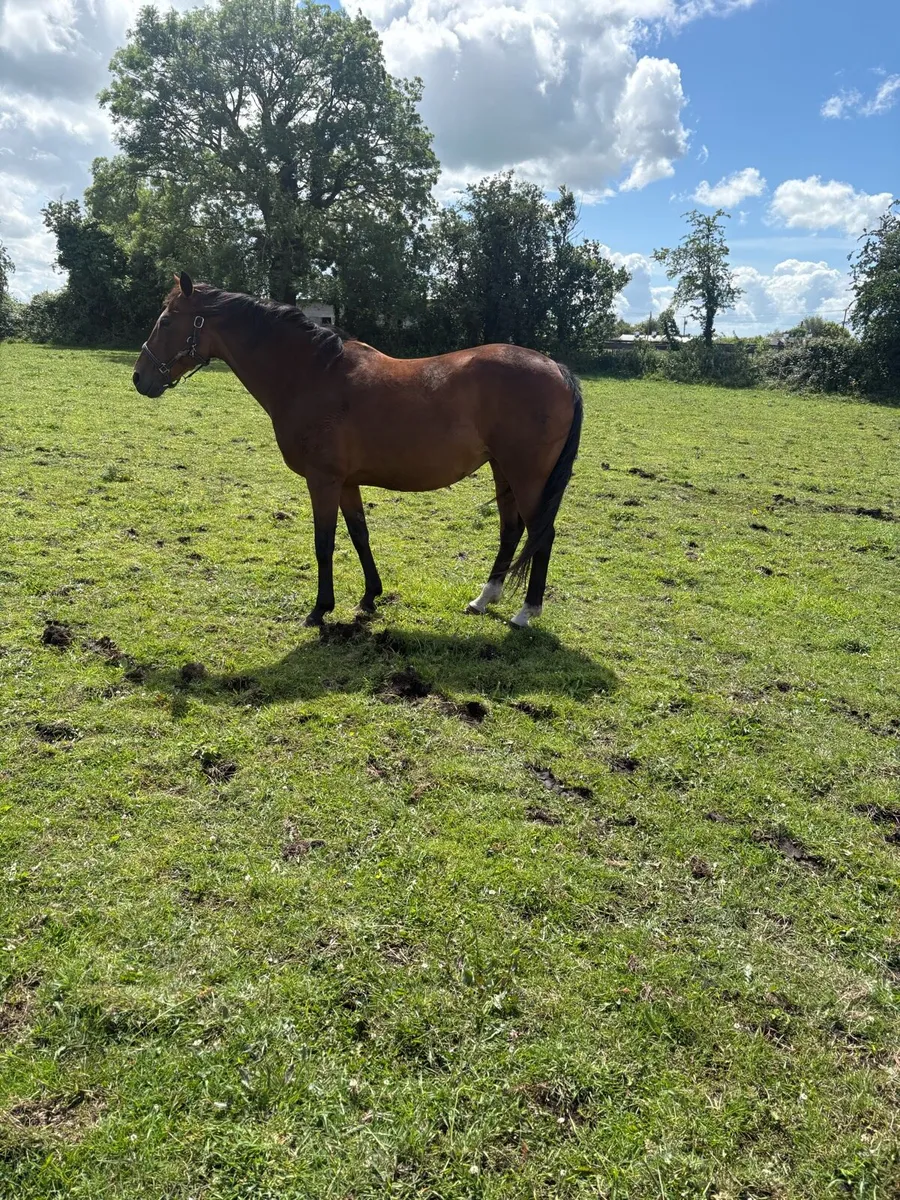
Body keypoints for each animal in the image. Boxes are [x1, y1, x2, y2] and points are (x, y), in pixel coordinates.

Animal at [133, 272, 583, 629]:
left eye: (166, 320)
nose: (139, 378)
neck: (313, 374)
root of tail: (558, 369)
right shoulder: (347, 483)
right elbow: (359, 535)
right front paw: (369, 598)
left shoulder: (323, 481)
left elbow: (324, 543)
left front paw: (319, 610)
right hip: (502, 470)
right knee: (511, 530)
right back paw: (483, 599)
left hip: (526, 476)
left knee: (541, 533)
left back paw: (526, 613)